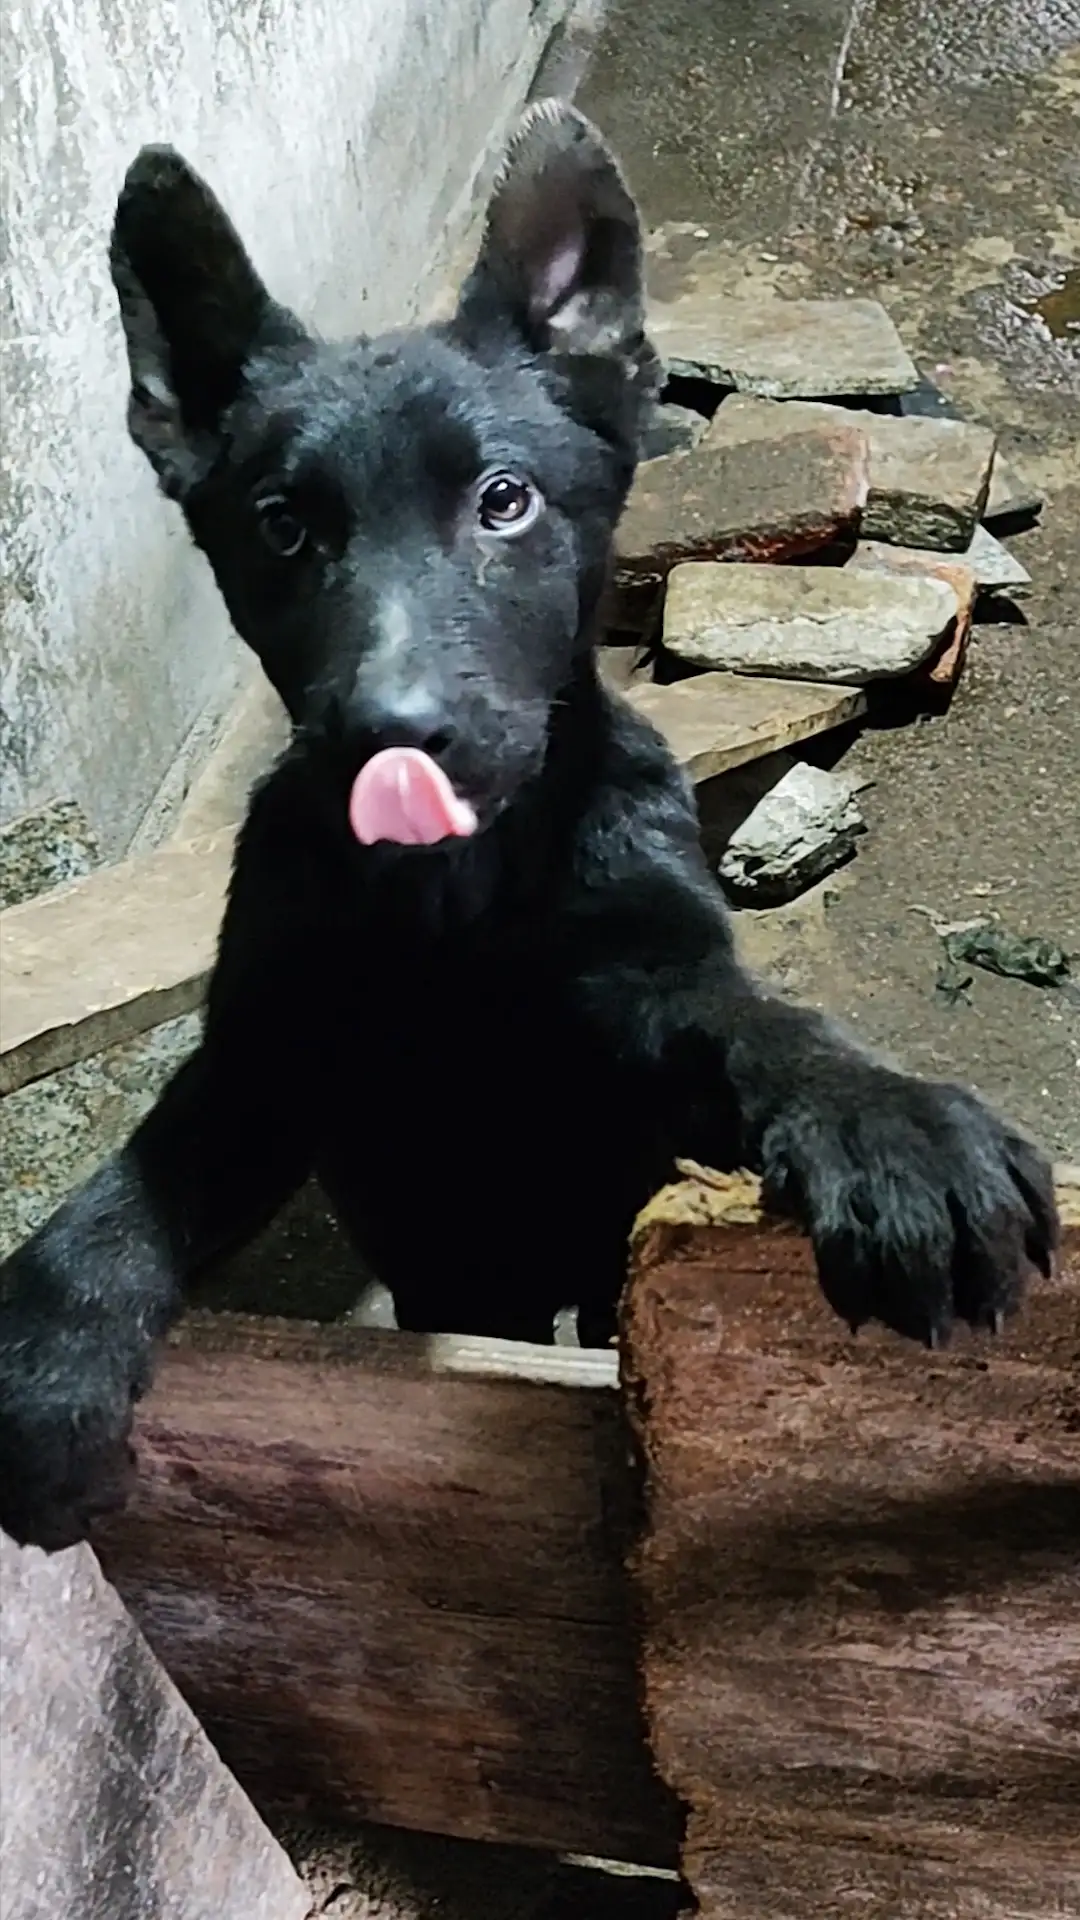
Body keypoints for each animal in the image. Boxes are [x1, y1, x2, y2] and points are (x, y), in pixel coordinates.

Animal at [0, 101, 1053, 1543]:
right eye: (281, 528)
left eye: (505, 501)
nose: (390, 738)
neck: (460, 897)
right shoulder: (277, 1052)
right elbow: (160, 1160)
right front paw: (52, 1329)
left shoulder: (646, 990)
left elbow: (753, 1026)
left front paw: (884, 1124)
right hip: (455, 1269)